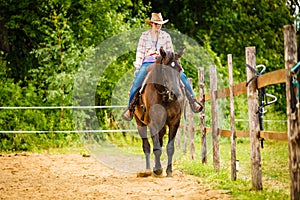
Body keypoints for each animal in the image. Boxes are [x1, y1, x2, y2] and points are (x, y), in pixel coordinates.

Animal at [134, 46, 185, 177]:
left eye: (179, 69)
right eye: (165, 69)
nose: (175, 94)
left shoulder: (174, 122)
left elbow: (170, 147)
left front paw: (169, 171)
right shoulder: (153, 123)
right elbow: (156, 147)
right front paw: (157, 169)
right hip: (140, 123)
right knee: (146, 146)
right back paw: (147, 170)